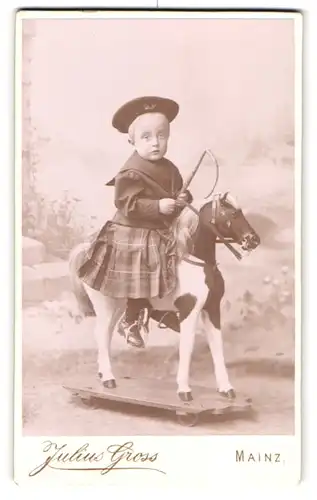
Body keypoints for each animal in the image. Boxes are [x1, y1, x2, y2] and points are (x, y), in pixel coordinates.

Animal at [68, 191, 260, 402]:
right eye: (233, 214)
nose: (254, 240)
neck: (198, 262)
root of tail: (87, 252)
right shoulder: (189, 311)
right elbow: (187, 346)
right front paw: (184, 390)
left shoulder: (212, 309)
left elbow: (217, 345)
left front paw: (226, 388)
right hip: (105, 305)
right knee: (101, 333)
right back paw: (108, 378)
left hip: (117, 305)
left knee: (109, 332)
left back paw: (104, 372)